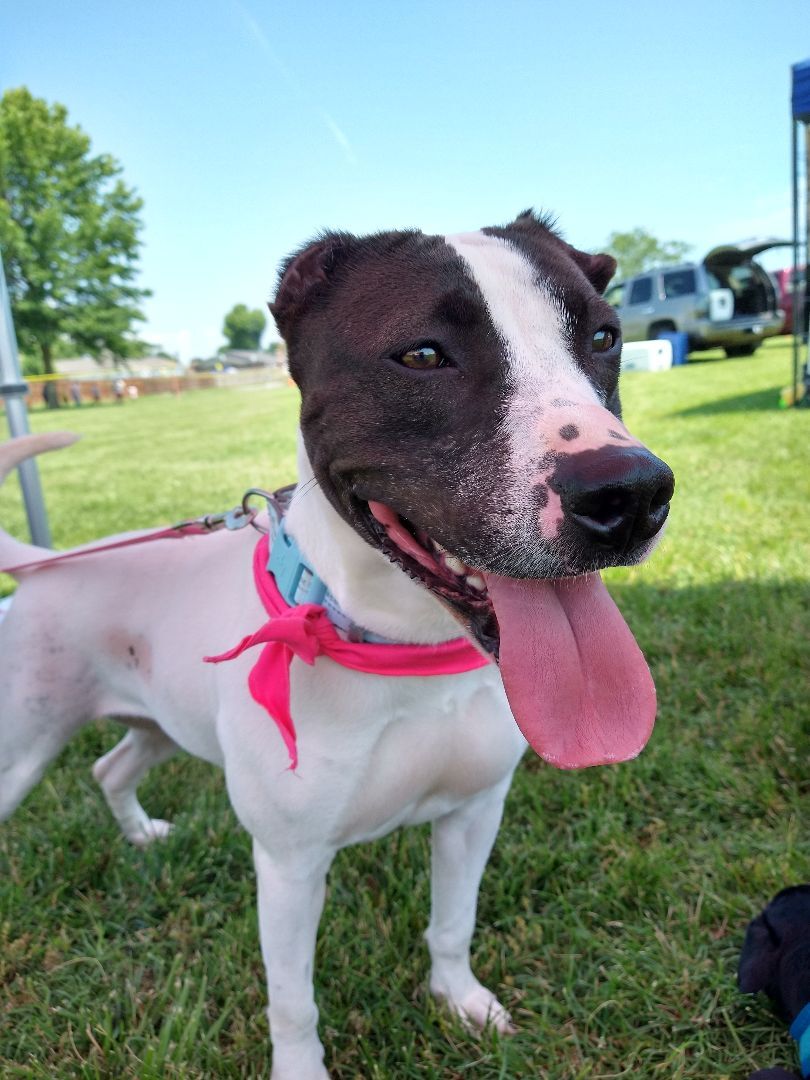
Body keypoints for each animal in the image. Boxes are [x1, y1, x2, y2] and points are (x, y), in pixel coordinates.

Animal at [0, 212, 673, 1080]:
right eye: (422, 354)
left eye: (603, 336)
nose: (630, 494)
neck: (404, 645)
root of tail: (40, 561)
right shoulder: (289, 865)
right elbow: (294, 1001)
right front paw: (302, 1068)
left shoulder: (474, 813)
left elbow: (452, 924)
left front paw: (461, 1003)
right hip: (21, 746)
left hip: (159, 722)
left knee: (110, 766)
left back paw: (142, 834)